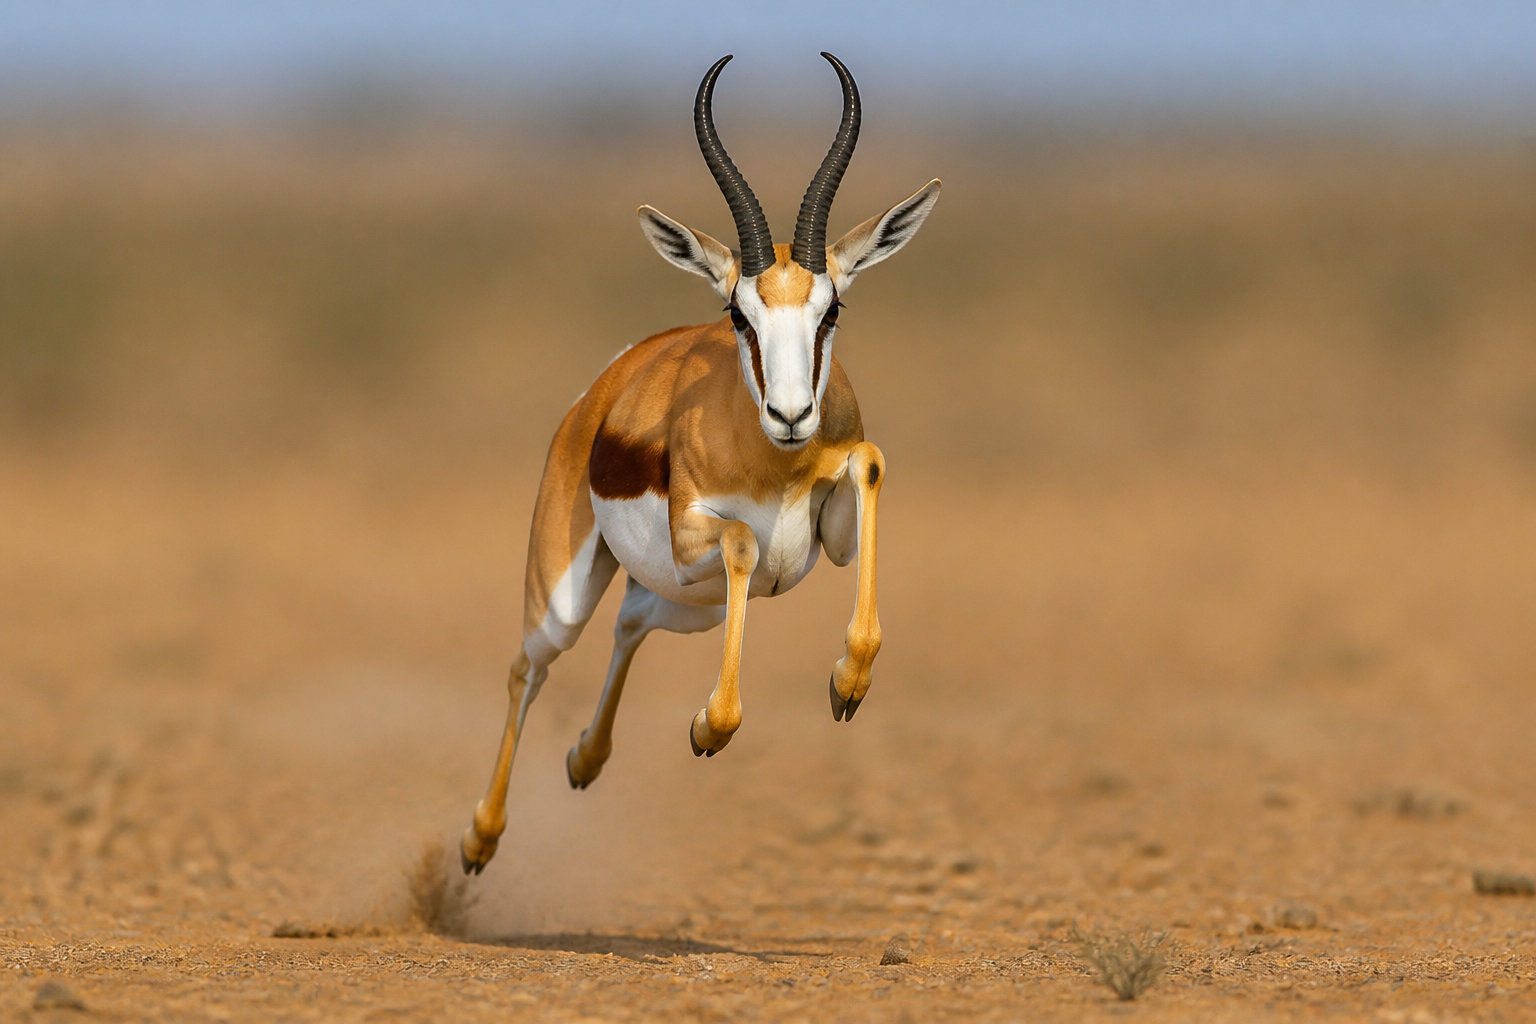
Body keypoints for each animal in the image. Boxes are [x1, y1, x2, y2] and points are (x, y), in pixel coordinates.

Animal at [460, 52, 940, 874]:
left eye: (831, 310)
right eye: (739, 314)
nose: (791, 415)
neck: (774, 464)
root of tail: (608, 382)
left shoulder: (831, 539)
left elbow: (868, 462)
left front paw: (847, 687)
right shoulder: (697, 540)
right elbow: (744, 539)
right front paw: (708, 728)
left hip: (693, 605)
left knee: (630, 621)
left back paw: (584, 759)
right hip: (572, 593)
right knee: (531, 665)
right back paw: (478, 841)